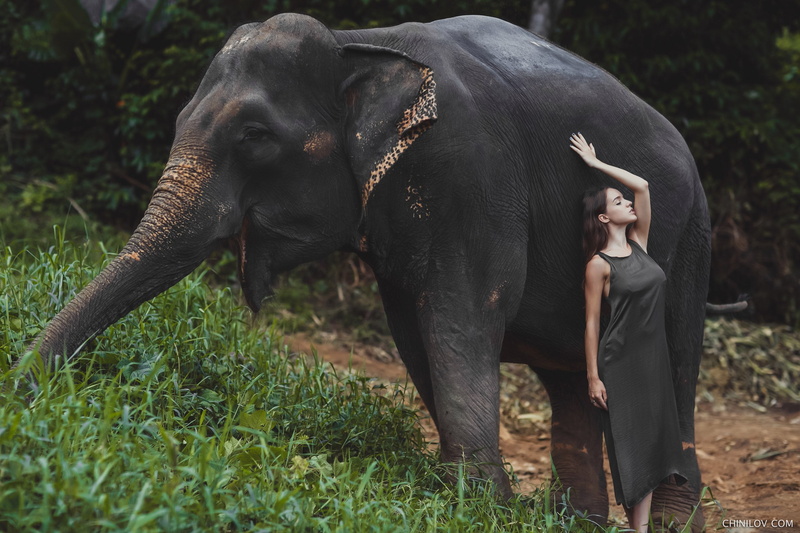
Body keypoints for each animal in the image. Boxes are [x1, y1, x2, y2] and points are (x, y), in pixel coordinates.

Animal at [25, 13, 711, 529]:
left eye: (254, 135)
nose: (25, 389)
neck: (360, 42)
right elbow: (414, 331)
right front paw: (476, 498)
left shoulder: (471, 178)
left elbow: (460, 318)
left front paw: (482, 507)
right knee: (571, 383)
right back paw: (577, 521)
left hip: (688, 238)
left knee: (676, 359)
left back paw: (669, 519)